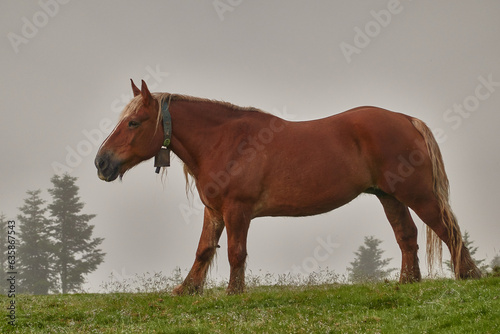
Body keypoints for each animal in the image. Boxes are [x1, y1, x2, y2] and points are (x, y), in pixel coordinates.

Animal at [94, 79, 480, 294]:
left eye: (134, 122)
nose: (101, 163)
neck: (226, 141)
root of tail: (406, 119)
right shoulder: (214, 211)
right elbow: (203, 250)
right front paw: (186, 289)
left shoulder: (237, 210)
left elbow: (235, 253)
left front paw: (235, 293)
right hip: (390, 196)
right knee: (408, 236)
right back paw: (407, 283)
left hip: (418, 195)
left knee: (447, 228)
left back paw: (470, 275)